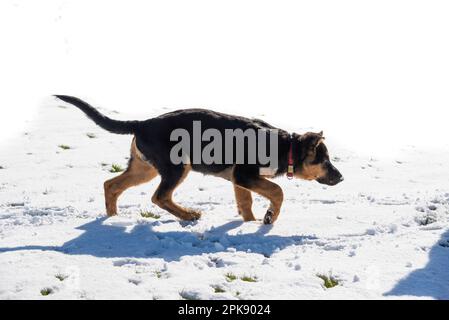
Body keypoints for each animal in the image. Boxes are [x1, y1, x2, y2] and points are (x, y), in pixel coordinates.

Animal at [55, 95, 344, 225]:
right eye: (326, 161)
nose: (341, 178)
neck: (286, 147)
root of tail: (142, 123)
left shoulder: (240, 179)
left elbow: (246, 202)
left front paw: (249, 223)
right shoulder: (245, 175)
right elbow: (278, 190)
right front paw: (269, 217)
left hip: (145, 168)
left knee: (111, 185)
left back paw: (113, 219)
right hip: (177, 165)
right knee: (159, 196)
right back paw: (189, 215)